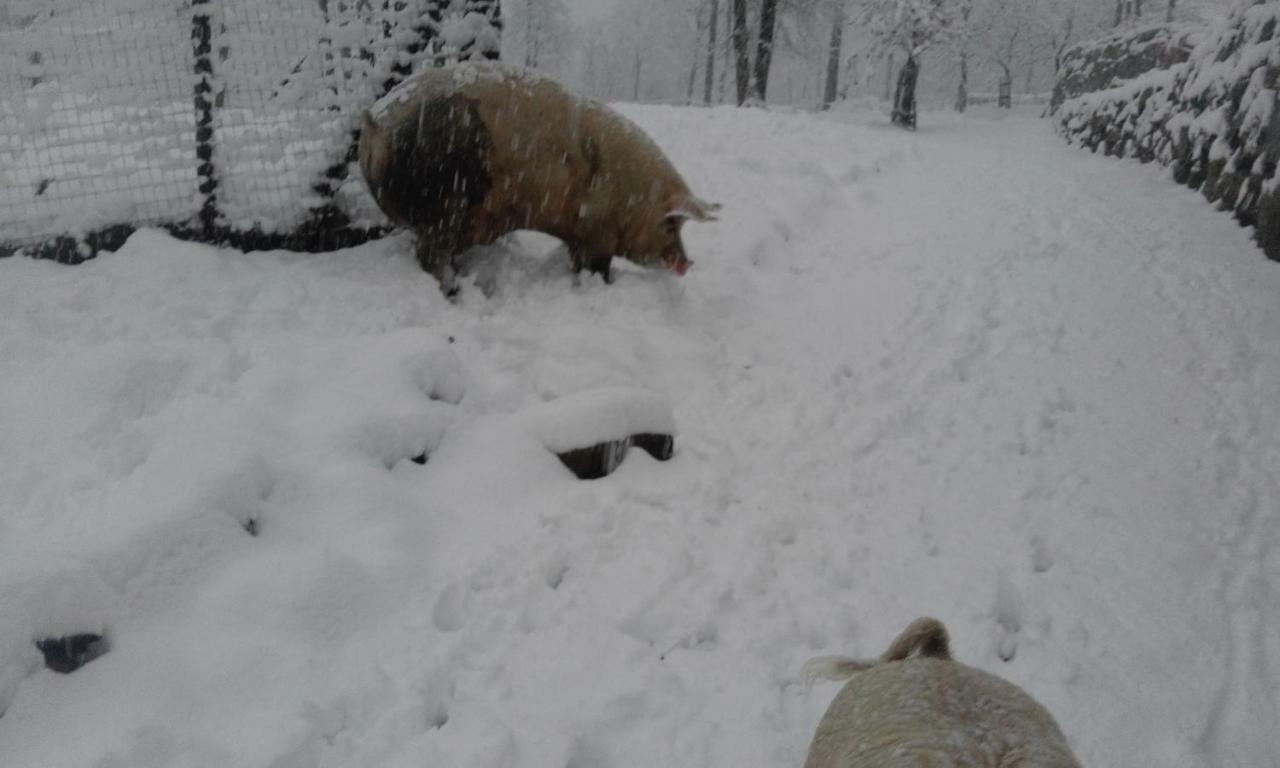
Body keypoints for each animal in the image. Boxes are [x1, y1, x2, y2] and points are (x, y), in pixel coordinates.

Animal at [358, 63, 721, 294]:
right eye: (671, 224)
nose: (687, 262)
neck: (633, 197)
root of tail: (377, 126)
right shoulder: (594, 233)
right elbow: (593, 268)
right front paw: (601, 287)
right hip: (445, 201)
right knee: (431, 257)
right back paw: (452, 292)